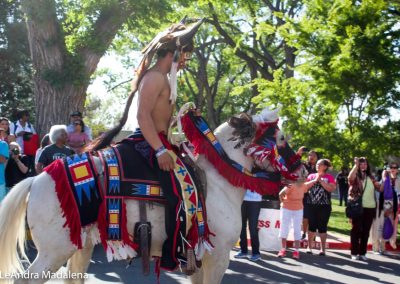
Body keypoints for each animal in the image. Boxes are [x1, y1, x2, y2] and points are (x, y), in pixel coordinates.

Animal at [0, 109, 304, 284]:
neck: (217, 182)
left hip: (80, 246)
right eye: (281, 140)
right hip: (53, 251)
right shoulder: (217, 257)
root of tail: (36, 180)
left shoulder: (198, 257)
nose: (301, 170)